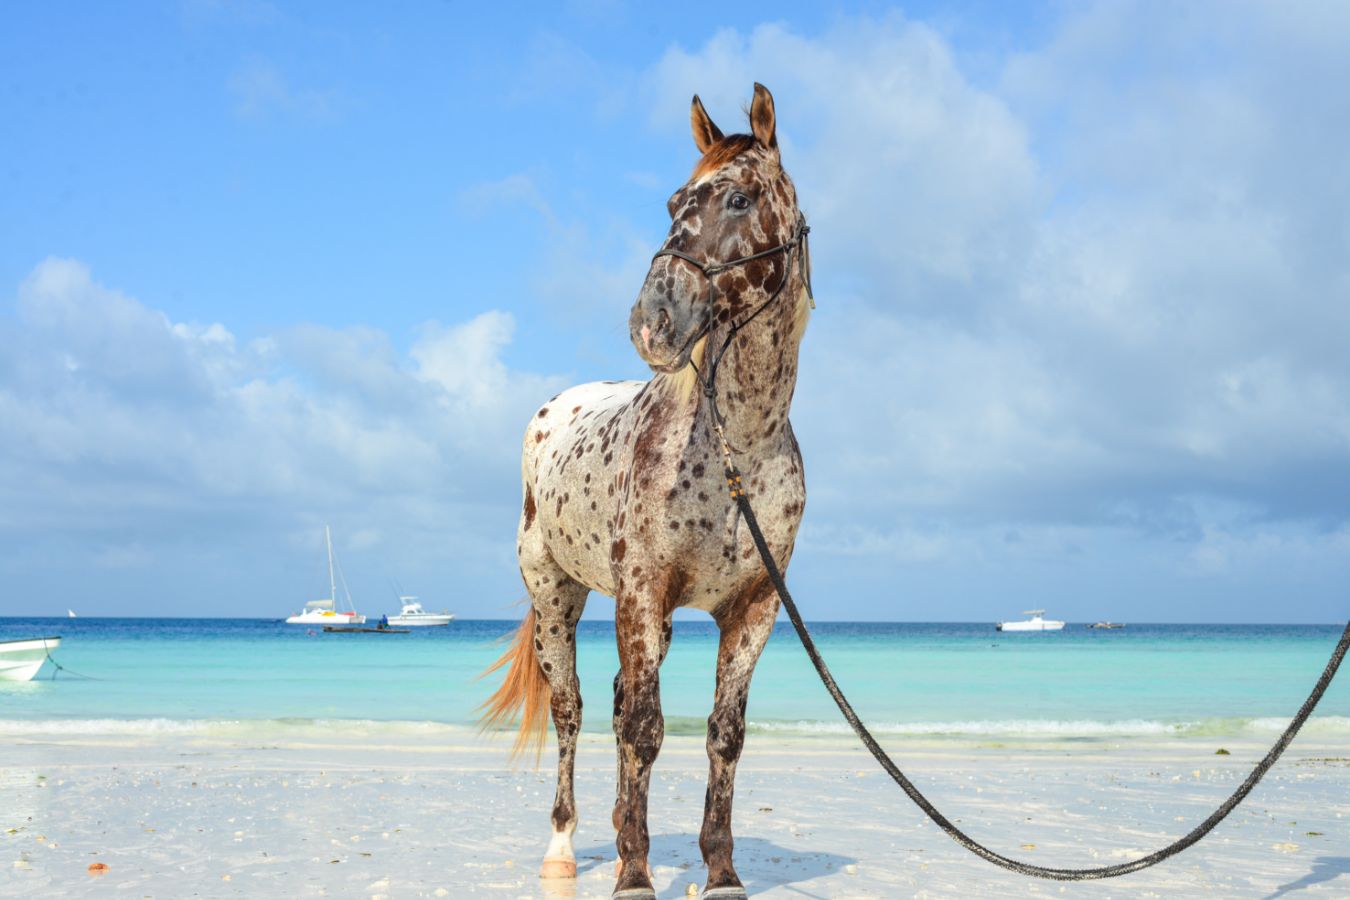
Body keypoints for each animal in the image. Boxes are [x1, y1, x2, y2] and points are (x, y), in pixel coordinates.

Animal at [482, 82, 811, 900]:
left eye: (738, 197)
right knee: (573, 712)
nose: (652, 323)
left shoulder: (753, 609)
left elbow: (722, 735)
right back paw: (565, 846)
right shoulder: (639, 591)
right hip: (558, 598)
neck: (736, 448)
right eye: (672, 201)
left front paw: (720, 870)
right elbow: (642, 728)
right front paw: (633, 871)